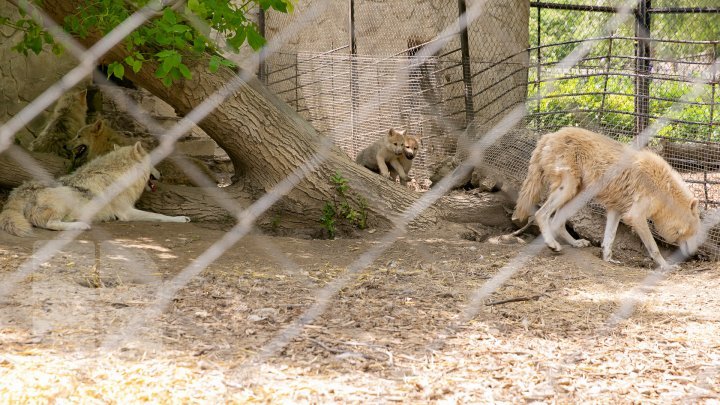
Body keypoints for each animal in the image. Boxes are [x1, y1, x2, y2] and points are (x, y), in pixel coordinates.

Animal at [0, 142, 190, 237]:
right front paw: (181, 218)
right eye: (153, 162)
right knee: (50, 224)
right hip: (65, 196)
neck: (120, 175)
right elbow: (160, 216)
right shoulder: (127, 212)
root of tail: (18, 192)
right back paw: (82, 225)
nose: (161, 173)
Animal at [516, 126, 700, 268]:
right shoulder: (635, 216)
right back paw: (552, 244)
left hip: (578, 196)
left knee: (558, 221)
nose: (694, 253)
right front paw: (665, 266)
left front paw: (608, 259)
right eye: (695, 232)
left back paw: (575, 243)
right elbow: (654, 248)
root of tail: (549, 135)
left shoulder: (615, 210)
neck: (663, 190)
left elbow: (609, 239)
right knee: (542, 214)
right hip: (567, 189)